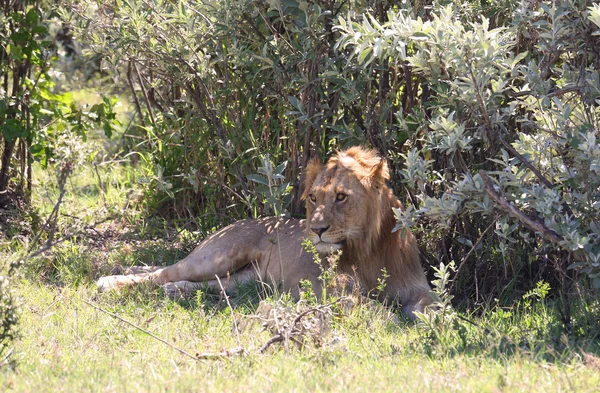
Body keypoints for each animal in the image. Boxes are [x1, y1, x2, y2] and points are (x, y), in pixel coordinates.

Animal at [96, 145, 432, 316]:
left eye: (341, 197)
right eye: (313, 197)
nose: (316, 229)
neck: (367, 247)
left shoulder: (417, 285)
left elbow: (430, 305)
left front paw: (431, 321)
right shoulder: (334, 292)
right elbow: (375, 308)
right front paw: (391, 318)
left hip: (249, 278)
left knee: (214, 285)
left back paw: (174, 291)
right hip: (216, 256)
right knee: (162, 272)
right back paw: (110, 282)